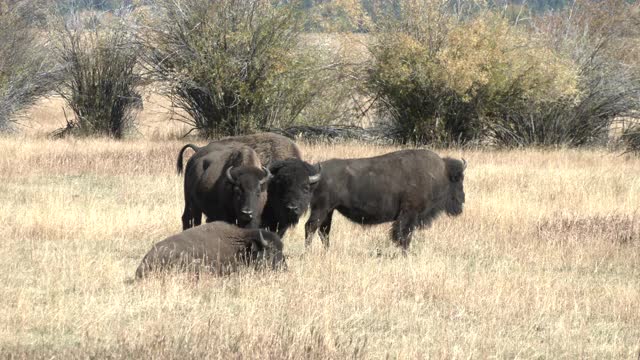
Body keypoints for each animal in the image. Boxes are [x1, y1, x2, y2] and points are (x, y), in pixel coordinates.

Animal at [178, 132, 322, 236]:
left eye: (306, 188)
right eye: (281, 185)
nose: (292, 208)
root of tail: (198, 151)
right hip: (190, 203)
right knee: (189, 219)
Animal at [302, 150, 468, 252]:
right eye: (458, 178)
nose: (463, 199)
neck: (439, 174)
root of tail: (315, 172)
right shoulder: (409, 214)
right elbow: (403, 235)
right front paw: (405, 254)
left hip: (329, 211)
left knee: (324, 231)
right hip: (321, 209)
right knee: (310, 227)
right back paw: (307, 253)